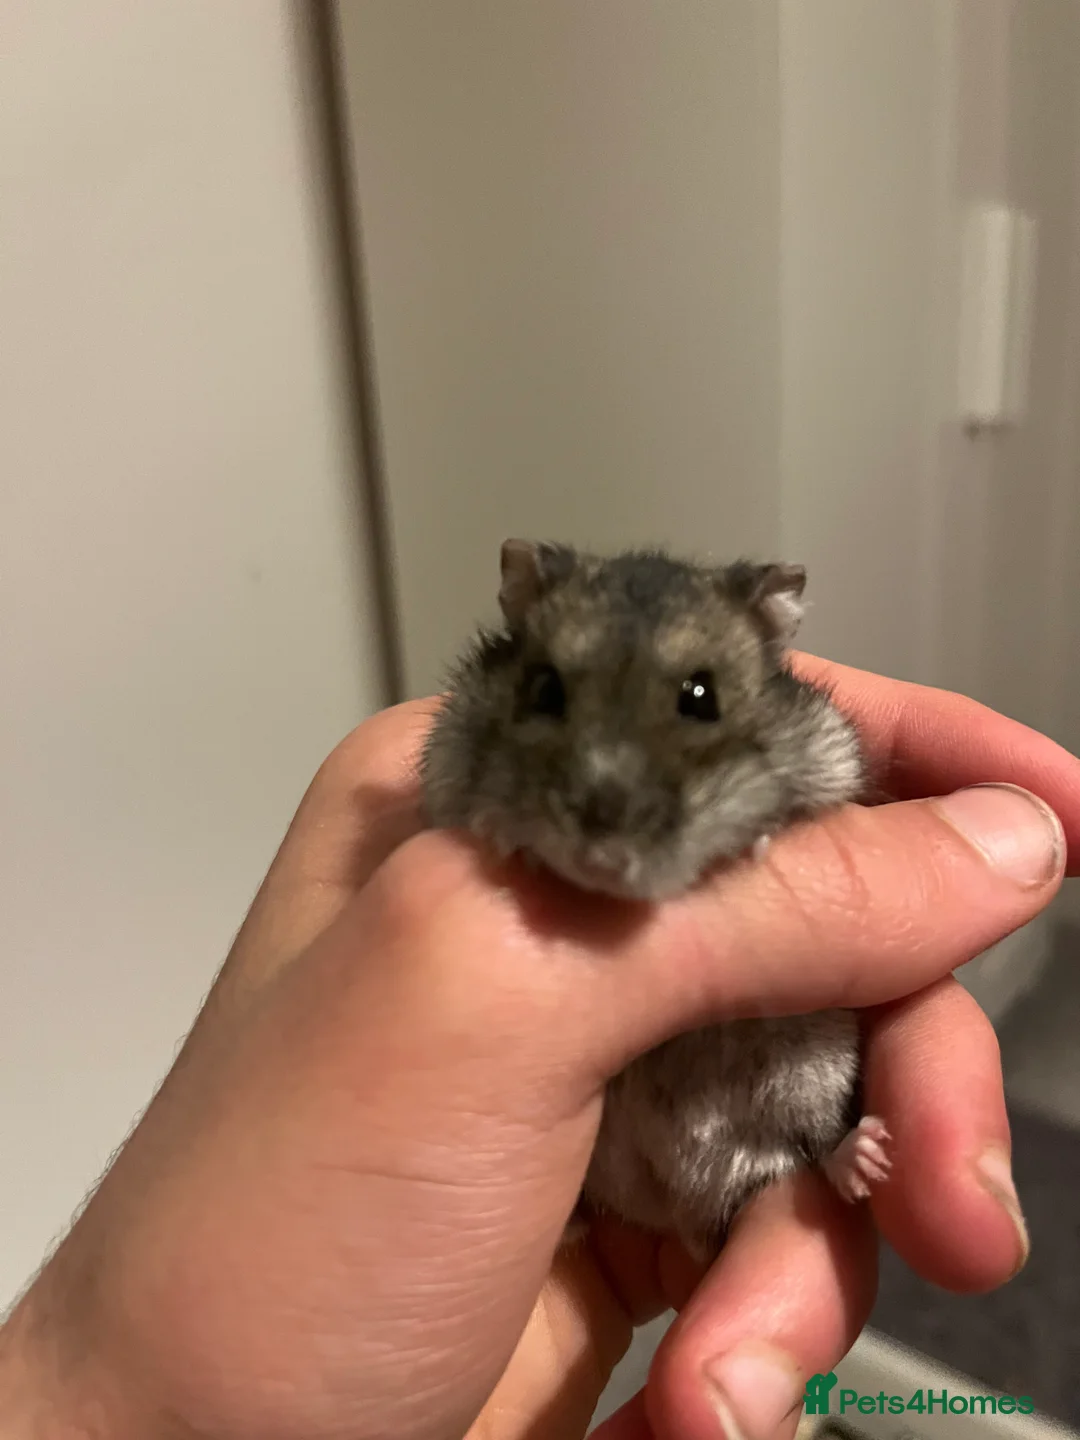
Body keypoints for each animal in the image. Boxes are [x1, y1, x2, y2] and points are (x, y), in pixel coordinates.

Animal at [421, 539, 891, 1260]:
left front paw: (755, 842)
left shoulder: (833, 763)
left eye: (702, 697)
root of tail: (676, 1208)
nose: (600, 861)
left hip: (813, 1072)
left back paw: (868, 1158)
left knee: (813, 1145)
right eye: (543, 689)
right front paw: (506, 838)